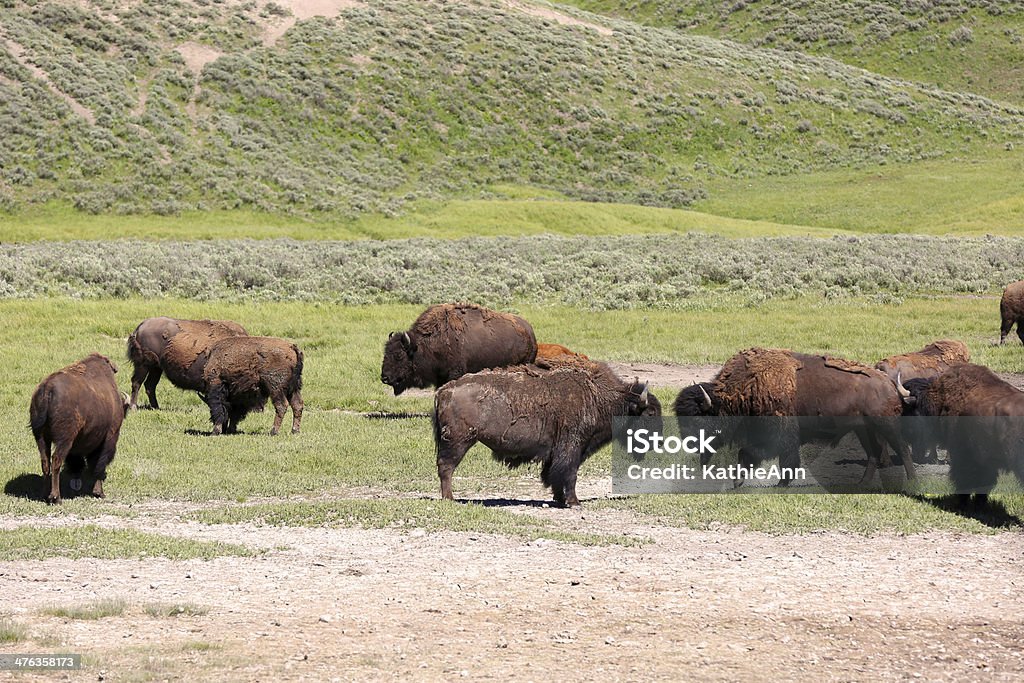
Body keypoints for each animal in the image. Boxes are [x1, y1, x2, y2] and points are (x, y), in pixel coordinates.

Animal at [29, 356, 130, 505]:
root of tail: (48, 389)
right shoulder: (109, 437)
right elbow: (99, 464)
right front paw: (99, 492)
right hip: (64, 440)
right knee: (56, 460)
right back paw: (56, 497)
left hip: (41, 437)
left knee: (45, 462)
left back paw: (44, 495)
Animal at [434, 362, 663, 507]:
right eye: (650, 413)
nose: (659, 441)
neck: (598, 397)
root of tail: (445, 390)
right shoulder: (572, 447)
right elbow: (569, 473)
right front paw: (574, 502)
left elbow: (554, 474)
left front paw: (560, 499)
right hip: (458, 441)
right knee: (446, 467)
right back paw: (450, 498)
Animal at [675, 348, 917, 485]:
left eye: (699, 418)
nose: (691, 444)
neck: (745, 387)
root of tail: (889, 383)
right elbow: (747, 455)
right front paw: (738, 482)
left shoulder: (779, 435)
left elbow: (771, 457)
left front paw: (781, 484)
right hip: (863, 430)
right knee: (873, 454)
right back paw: (861, 484)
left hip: (886, 425)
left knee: (903, 449)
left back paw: (912, 481)